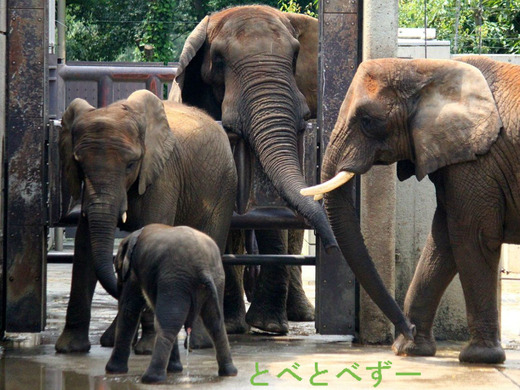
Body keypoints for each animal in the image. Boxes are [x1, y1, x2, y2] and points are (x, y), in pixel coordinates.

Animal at [56, 90, 236, 352]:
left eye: (131, 164)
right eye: (79, 165)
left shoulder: (162, 176)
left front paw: (147, 349)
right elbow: (83, 247)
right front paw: (69, 348)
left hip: (223, 190)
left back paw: (200, 343)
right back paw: (112, 340)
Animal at [106, 224, 240, 382]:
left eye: (117, 269)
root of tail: (202, 267)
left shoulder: (134, 271)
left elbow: (129, 310)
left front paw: (113, 371)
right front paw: (174, 370)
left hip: (175, 279)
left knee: (167, 324)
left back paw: (151, 379)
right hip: (216, 278)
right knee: (215, 323)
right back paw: (229, 372)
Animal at [171, 3, 414, 338]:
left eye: (295, 55)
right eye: (218, 60)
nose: (331, 247)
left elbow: (273, 215)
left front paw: (269, 326)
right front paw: (233, 327)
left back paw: (299, 314)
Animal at [300, 56, 516, 364]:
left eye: (368, 121)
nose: (408, 328)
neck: (425, 69)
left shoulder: (478, 161)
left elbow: (472, 237)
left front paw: (479, 358)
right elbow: (441, 241)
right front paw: (409, 349)